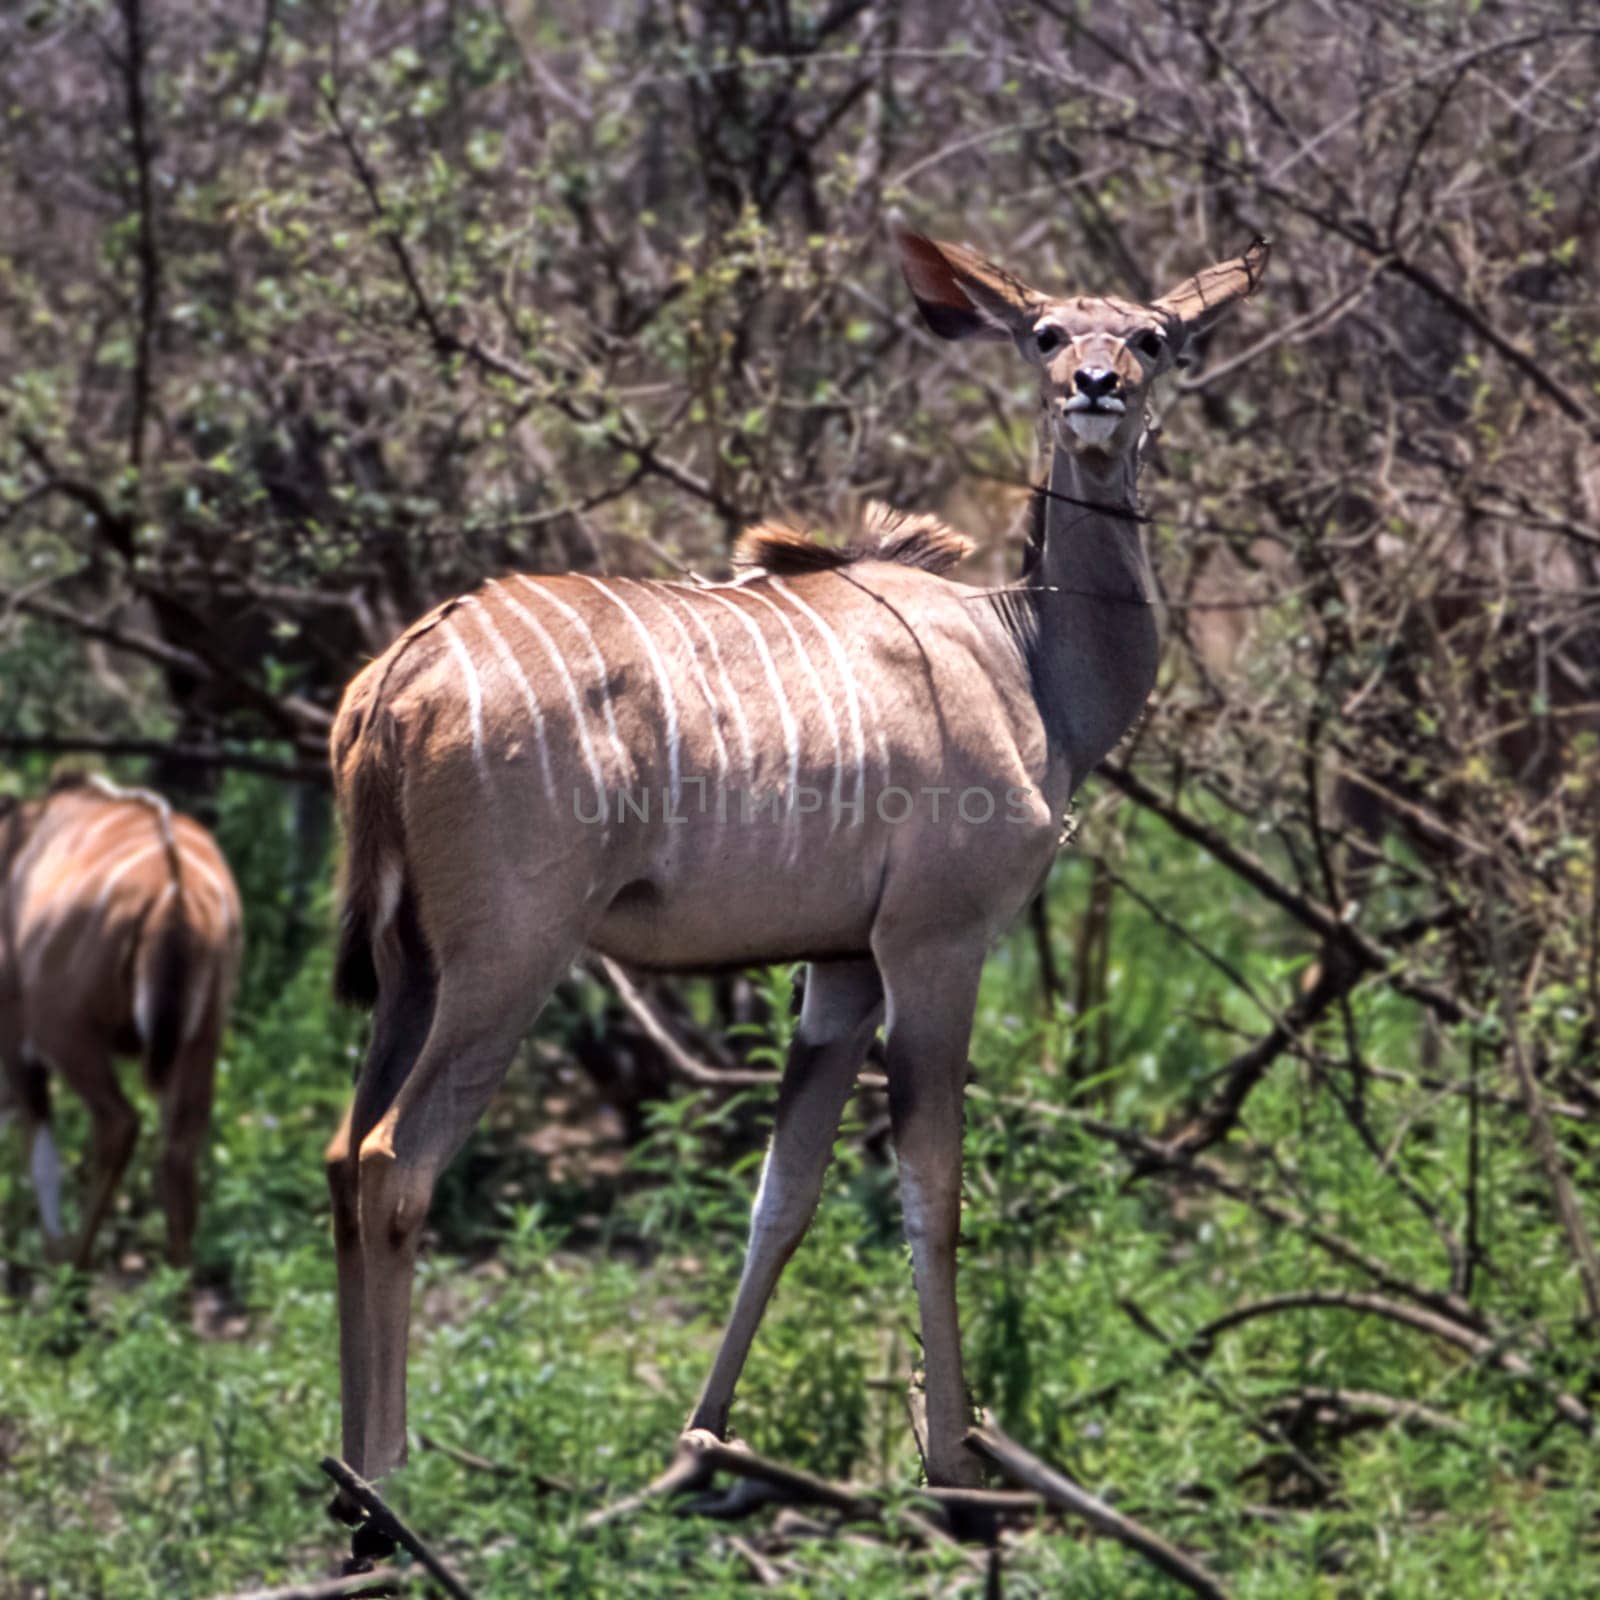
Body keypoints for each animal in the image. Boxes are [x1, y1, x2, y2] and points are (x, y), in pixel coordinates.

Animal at [0, 768, 243, 1267]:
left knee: (119, 1122)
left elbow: (39, 1146)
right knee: (180, 1144)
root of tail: (176, 896)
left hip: (65, 1028)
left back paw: (74, 1259)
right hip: (203, 1036)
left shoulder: (16, 1030)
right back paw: (175, 1277)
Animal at [324, 225, 1267, 1497]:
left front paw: (701, 1438)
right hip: (507, 958)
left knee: (342, 1155)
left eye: (1154, 337)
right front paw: (953, 1459)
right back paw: (390, 1478)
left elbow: (784, 1193)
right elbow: (931, 1185)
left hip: (410, 967)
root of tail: (392, 683)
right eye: (1043, 332)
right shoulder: (932, 941)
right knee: (396, 1159)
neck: (1029, 654)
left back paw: (346, 1465)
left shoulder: (839, 966)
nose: (1096, 388)